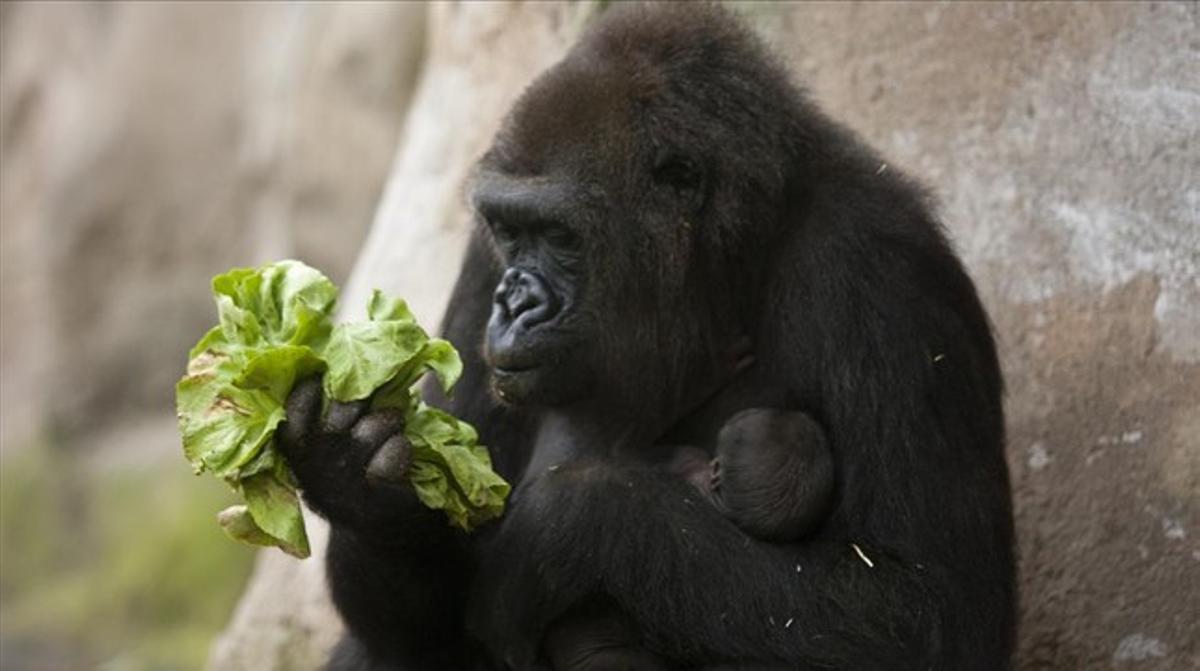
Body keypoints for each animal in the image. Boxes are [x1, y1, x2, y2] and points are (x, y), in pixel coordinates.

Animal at [278, 5, 1012, 671]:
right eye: (510, 231)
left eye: (560, 236)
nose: (511, 304)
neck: (726, 265)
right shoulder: (484, 263)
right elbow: (421, 622)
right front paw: (350, 471)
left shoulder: (882, 260)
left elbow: (921, 612)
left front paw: (567, 524)